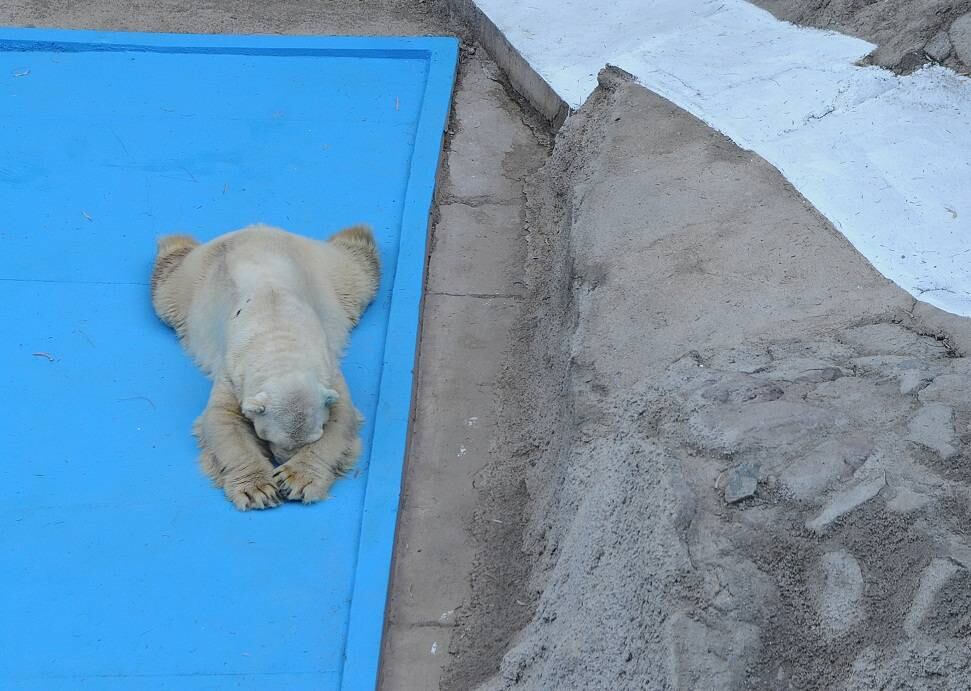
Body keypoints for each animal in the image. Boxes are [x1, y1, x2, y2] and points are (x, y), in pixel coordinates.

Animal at [151, 224, 380, 510]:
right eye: (270, 438)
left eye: (313, 437)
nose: (282, 460)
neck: (278, 341)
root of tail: (254, 230)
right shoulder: (233, 373)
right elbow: (223, 420)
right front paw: (258, 489)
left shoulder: (327, 369)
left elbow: (342, 417)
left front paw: (295, 479)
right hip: (192, 283)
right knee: (167, 287)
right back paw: (173, 244)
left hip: (325, 271)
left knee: (358, 272)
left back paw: (357, 234)